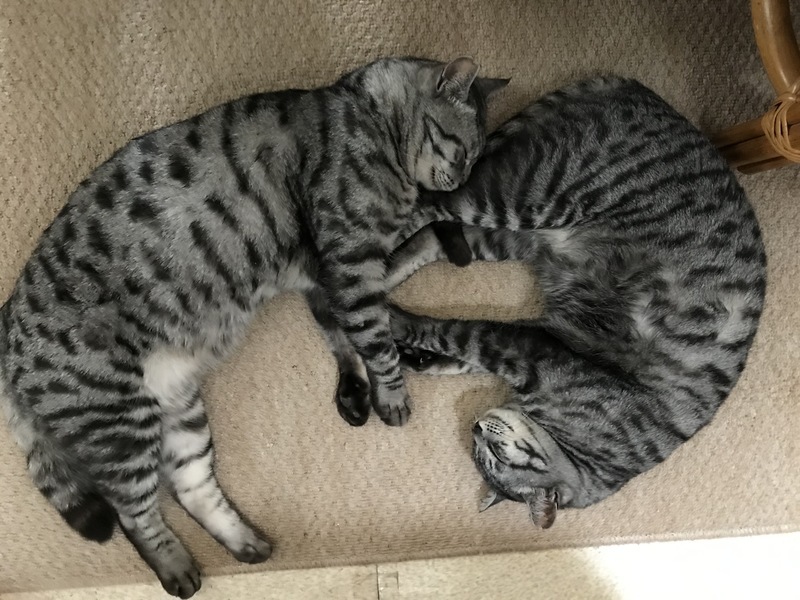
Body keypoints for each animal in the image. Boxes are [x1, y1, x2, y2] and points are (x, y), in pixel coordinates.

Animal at [0, 56, 508, 596]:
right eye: (464, 151)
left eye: (475, 159)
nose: (458, 184)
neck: (367, 114)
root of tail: (7, 326)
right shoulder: (349, 261)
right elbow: (374, 337)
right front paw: (392, 394)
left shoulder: (330, 276)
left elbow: (355, 325)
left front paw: (366, 383)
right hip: (120, 422)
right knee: (133, 513)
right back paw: (176, 569)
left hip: (179, 414)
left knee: (189, 487)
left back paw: (248, 544)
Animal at [385, 76, 766, 528]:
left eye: (491, 458)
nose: (476, 426)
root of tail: (640, 91)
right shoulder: (533, 346)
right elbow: (455, 332)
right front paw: (395, 324)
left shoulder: (536, 343)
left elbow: (457, 347)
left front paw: (414, 351)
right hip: (517, 196)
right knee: (421, 205)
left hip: (506, 234)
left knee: (427, 238)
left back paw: (382, 278)